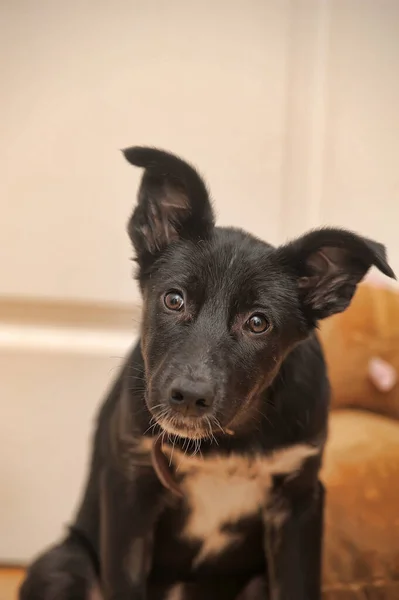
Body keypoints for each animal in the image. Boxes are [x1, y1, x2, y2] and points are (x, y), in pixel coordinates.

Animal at [21, 146, 396, 600]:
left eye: (258, 323)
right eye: (174, 299)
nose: (188, 397)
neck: (229, 440)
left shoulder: (300, 501)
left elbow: (297, 585)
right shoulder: (130, 489)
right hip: (61, 566)